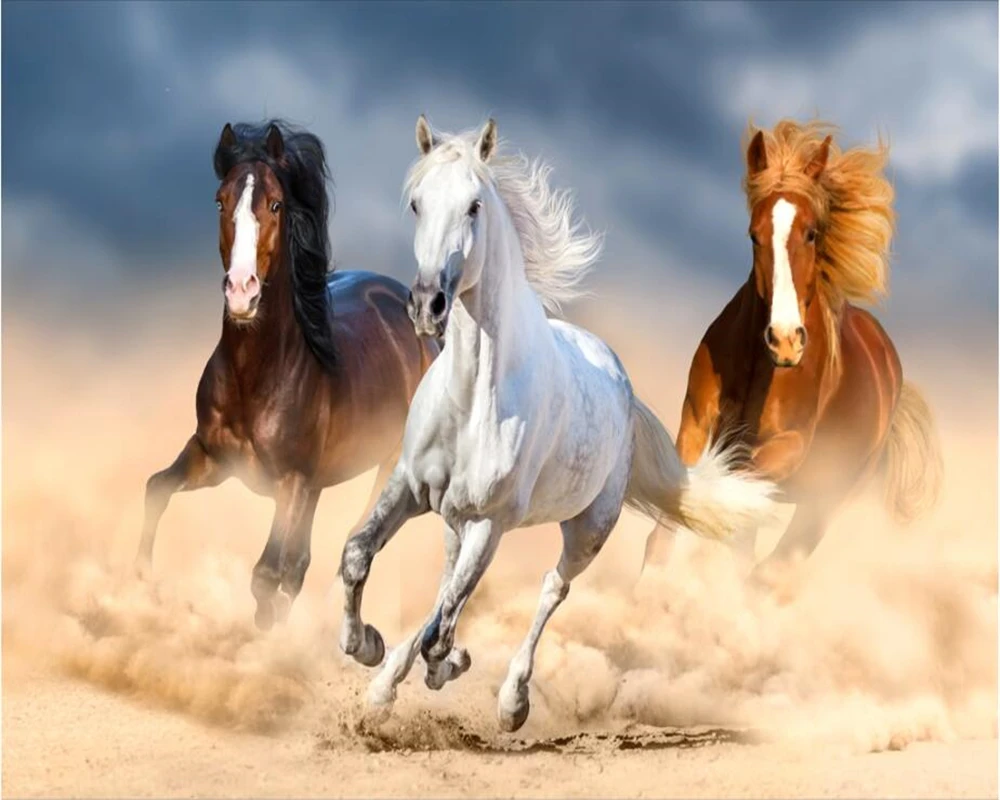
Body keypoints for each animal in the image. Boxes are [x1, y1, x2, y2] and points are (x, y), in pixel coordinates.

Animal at [136, 120, 438, 630]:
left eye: (276, 204)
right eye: (220, 200)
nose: (241, 292)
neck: (256, 375)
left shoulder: (291, 482)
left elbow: (266, 574)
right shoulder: (213, 458)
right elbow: (157, 489)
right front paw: (138, 585)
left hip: (386, 466)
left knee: (349, 542)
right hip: (316, 485)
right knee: (301, 562)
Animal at [336, 114, 779, 733]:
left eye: (474, 205)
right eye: (417, 203)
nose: (427, 305)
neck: (473, 399)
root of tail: (622, 383)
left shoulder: (491, 521)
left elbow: (443, 625)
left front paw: (444, 665)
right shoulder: (410, 485)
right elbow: (359, 557)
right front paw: (367, 647)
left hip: (586, 528)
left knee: (550, 588)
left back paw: (510, 702)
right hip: (456, 518)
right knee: (449, 586)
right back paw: (390, 681)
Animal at [641, 119, 943, 581]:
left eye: (811, 232)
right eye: (754, 235)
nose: (784, 340)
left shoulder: (789, 448)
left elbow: (731, 487)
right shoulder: (694, 422)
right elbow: (670, 521)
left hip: (825, 502)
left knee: (774, 564)